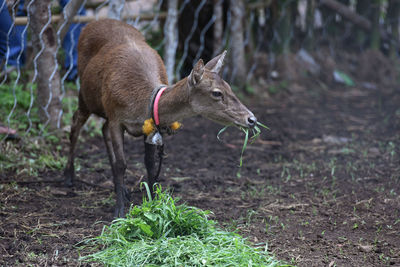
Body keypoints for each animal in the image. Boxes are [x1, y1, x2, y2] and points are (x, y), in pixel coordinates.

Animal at [63, 19, 256, 219]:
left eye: (230, 87)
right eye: (217, 93)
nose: (251, 119)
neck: (140, 104)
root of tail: (92, 23)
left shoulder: (149, 125)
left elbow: (150, 163)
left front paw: (153, 202)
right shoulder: (116, 117)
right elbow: (121, 164)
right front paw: (119, 212)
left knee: (103, 129)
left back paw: (122, 190)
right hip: (85, 95)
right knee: (76, 123)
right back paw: (69, 176)